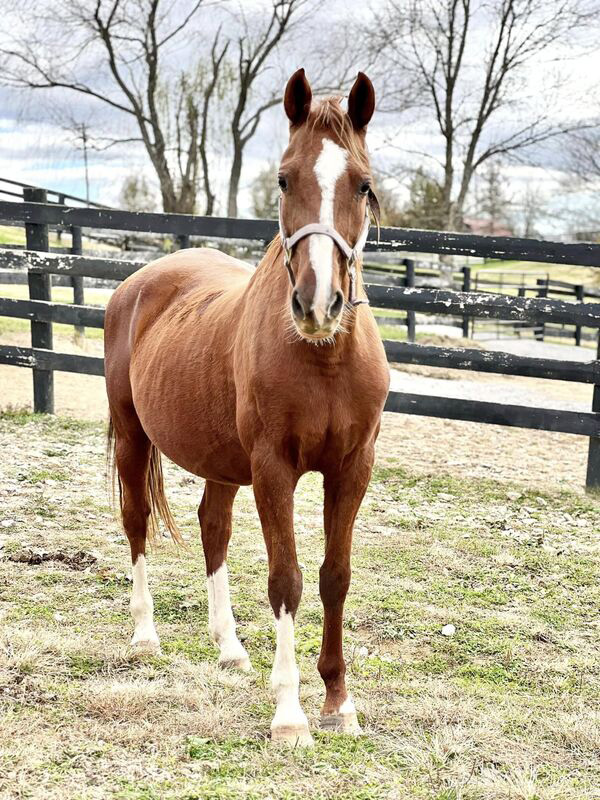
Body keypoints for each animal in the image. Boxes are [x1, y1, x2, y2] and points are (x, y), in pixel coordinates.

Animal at [105, 70, 390, 752]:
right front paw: (289, 714)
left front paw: (338, 703)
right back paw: (145, 635)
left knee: (213, 527)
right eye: (284, 179)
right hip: (133, 436)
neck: (323, 359)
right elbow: (285, 579)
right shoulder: (273, 470)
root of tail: (138, 282)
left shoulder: (352, 469)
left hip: (221, 461)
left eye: (363, 184)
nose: (318, 303)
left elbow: (334, 576)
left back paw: (229, 647)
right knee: (136, 522)